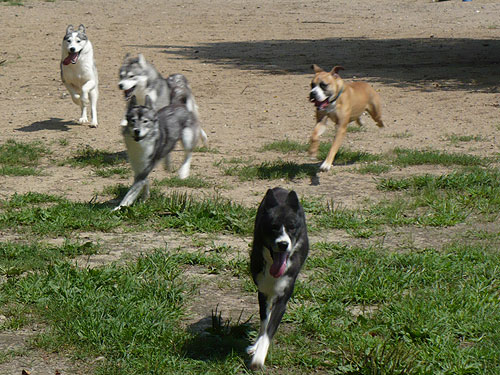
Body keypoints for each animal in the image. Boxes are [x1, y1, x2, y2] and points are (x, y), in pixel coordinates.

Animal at [247, 188, 308, 370]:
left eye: (292, 227)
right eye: (273, 227)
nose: (283, 244)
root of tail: (280, 189)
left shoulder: (283, 298)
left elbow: (270, 329)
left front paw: (259, 357)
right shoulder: (262, 292)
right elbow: (264, 322)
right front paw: (256, 346)